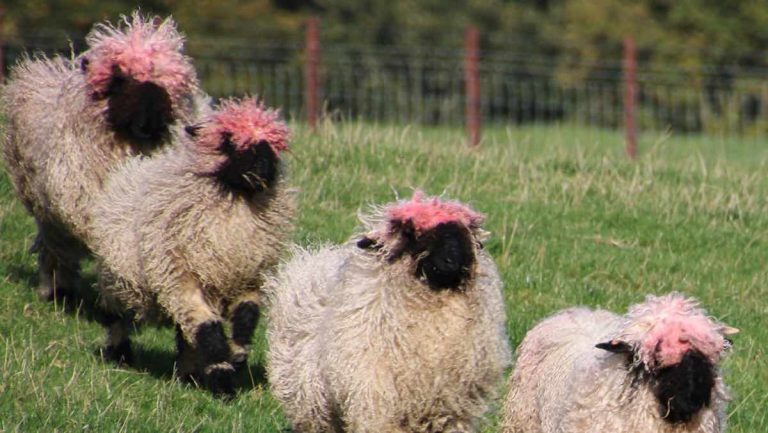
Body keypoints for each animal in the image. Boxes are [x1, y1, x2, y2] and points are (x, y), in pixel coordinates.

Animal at [0, 11, 204, 301]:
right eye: (119, 79)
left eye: (164, 83)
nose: (150, 124)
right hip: (46, 208)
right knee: (55, 246)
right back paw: (56, 289)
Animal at [89, 97, 295, 397]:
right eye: (228, 141)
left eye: (273, 144)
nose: (262, 168)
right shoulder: (180, 277)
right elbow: (207, 328)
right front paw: (223, 379)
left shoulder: (249, 275)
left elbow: (246, 316)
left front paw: (237, 355)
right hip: (120, 279)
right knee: (115, 316)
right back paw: (120, 354)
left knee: (183, 332)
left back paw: (187, 374)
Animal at [267, 192, 512, 432]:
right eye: (411, 233)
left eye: (464, 232)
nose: (452, 261)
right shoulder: (376, 400)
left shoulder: (451, 408)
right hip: (312, 404)